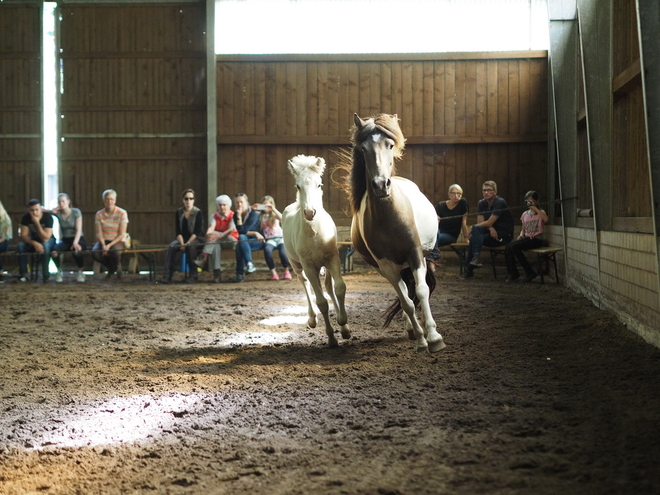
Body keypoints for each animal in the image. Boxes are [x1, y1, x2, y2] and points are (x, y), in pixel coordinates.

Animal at [282, 155, 350, 348]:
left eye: (319, 184)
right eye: (298, 186)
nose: (310, 212)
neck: (314, 232)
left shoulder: (333, 259)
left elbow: (339, 288)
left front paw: (344, 325)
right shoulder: (309, 266)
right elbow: (321, 302)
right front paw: (332, 338)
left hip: (325, 266)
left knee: (328, 286)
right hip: (297, 264)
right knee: (304, 282)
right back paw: (312, 319)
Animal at [348, 113, 446, 352]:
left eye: (390, 145)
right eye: (363, 148)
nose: (381, 185)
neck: (388, 218)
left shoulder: (415, 254)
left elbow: (422, 291)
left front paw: (434, 338)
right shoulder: (386, 267)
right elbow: (406, 302)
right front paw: (421, 339)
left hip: (419, 259)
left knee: (418, 287)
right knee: (405, 294)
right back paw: (412, 329)